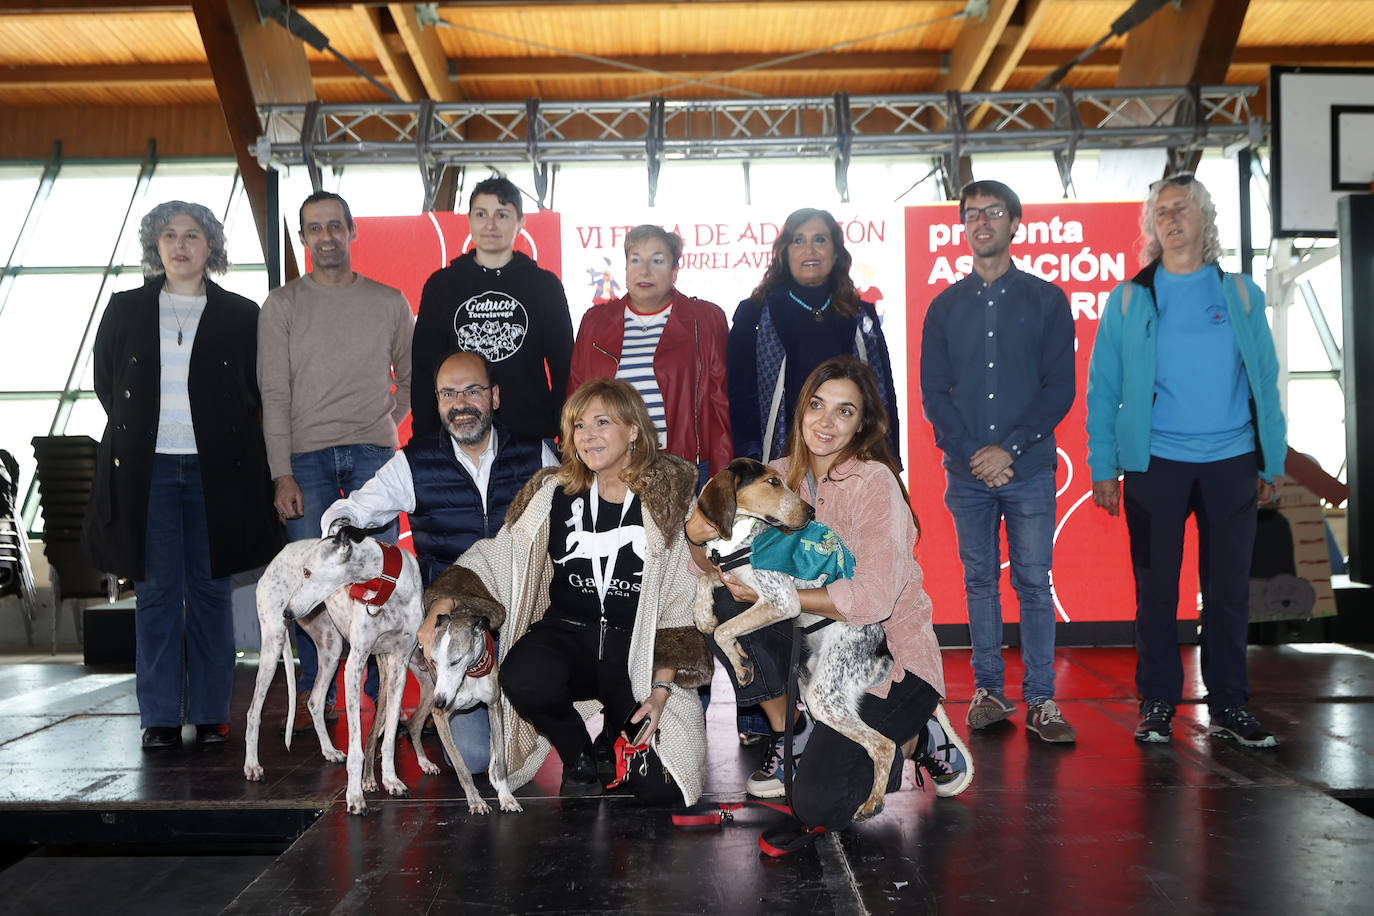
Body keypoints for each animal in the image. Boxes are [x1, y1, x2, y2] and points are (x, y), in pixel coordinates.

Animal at [692, 461, 895, 818]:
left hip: (823, 694)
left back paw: (873, 801)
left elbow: (724, 629)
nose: (811, 512)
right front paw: (702, 614)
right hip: (811, 688)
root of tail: (882, 653)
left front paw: (741, 664)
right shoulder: (732, 579)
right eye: (773, 482)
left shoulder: (782, 601)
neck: (742, 535)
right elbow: (705, 582)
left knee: (884, 745)